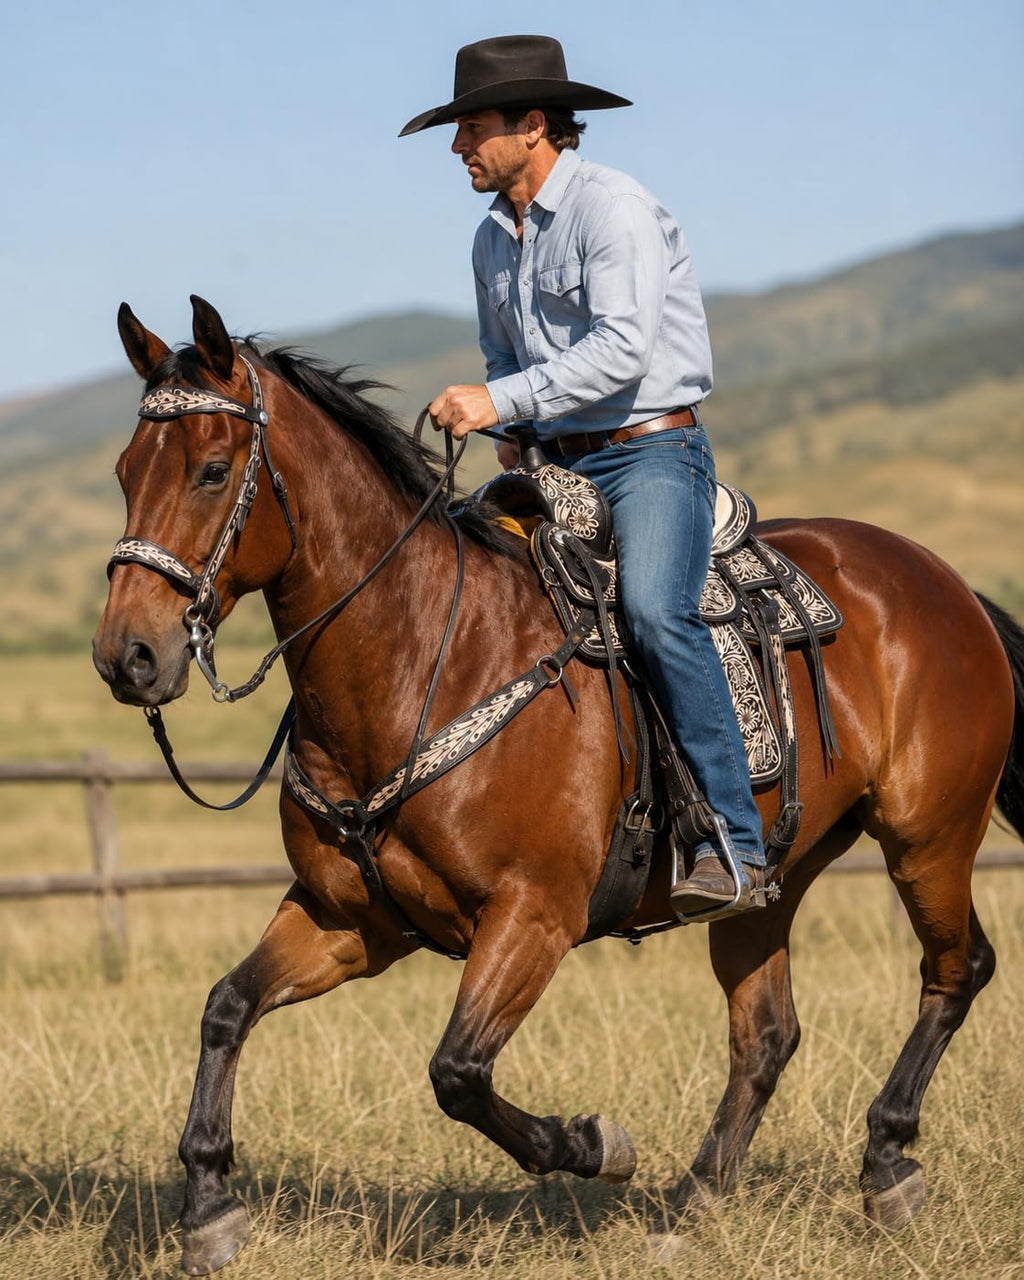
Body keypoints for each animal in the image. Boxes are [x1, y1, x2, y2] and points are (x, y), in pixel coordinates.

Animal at [93, 296, 1024, 1274]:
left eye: (211, 470)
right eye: (124, 472)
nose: (128, 656)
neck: (426, 659)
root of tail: (947, 583)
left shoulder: (533, 915)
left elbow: (457, 1073)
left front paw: (594, 1144)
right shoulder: (349, 921)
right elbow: (227, 1008)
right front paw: (208, 1206)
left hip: (928, 839)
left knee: (957, 970)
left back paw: (887, 1162)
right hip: (772, 879)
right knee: (766, 1035)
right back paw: (690, 1205)